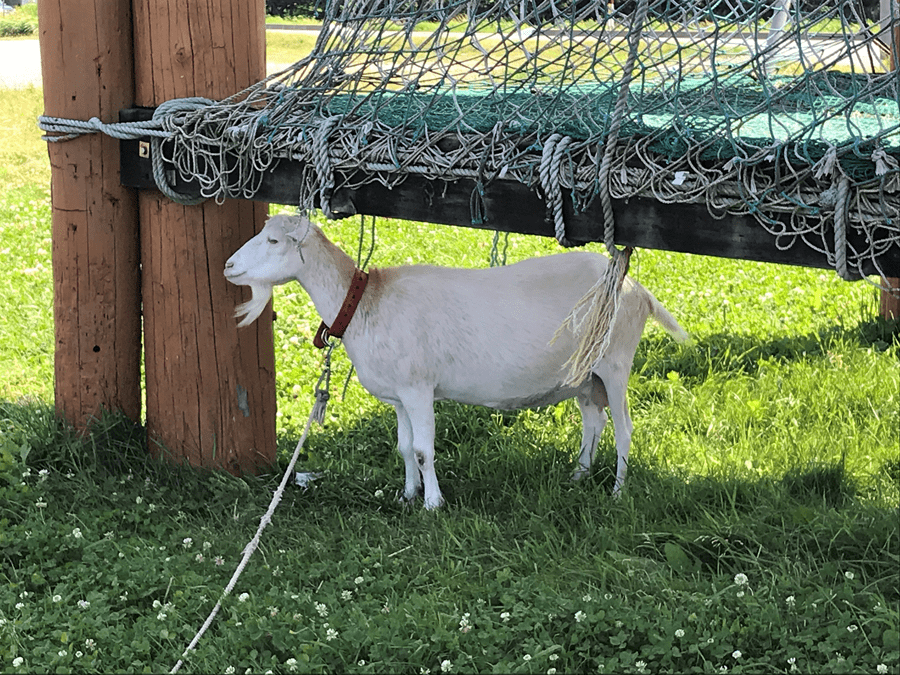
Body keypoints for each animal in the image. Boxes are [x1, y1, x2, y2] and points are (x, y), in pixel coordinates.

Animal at [225, 215, 688, 508]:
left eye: (273, 241)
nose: (229, 266)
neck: (364, 303)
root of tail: (637, 289)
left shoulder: (418, 388)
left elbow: (423, 449)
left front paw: (433, 503)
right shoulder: (399, 396)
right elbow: (404, 447)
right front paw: (407, 494)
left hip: (615, 363)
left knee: (625, 429)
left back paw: (617, 492)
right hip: (585, 375)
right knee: (594, 420)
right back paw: (578, 476)